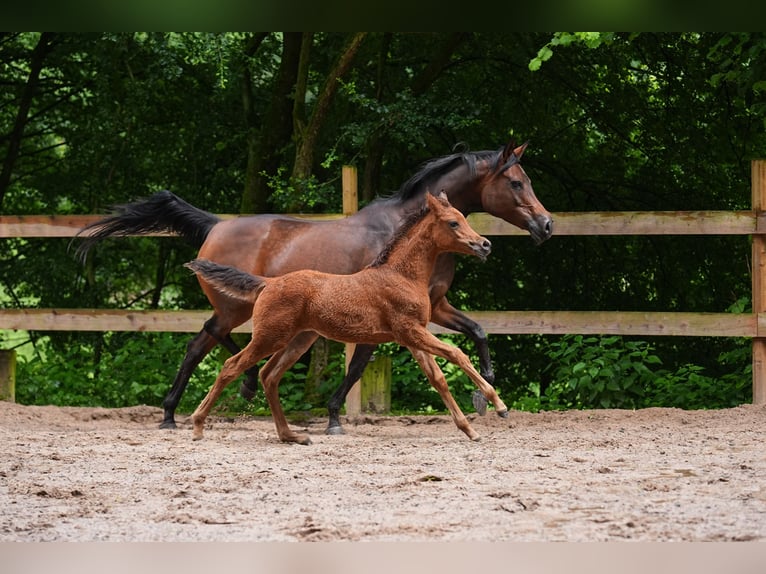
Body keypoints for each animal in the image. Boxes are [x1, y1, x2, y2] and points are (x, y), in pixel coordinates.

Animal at [76, 143, 552, 432]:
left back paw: (192, 405)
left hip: (239, 308)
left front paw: (484, 394)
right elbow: (358, 366)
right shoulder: (391, 319)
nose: (546, 225)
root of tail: (216, 224)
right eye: (515, 182)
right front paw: (334, 417)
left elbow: (478, 331)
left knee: (209, 342)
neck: (400, 232)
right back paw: (187, 407)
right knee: (207, 343)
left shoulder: (435, 306)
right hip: (234, 308)